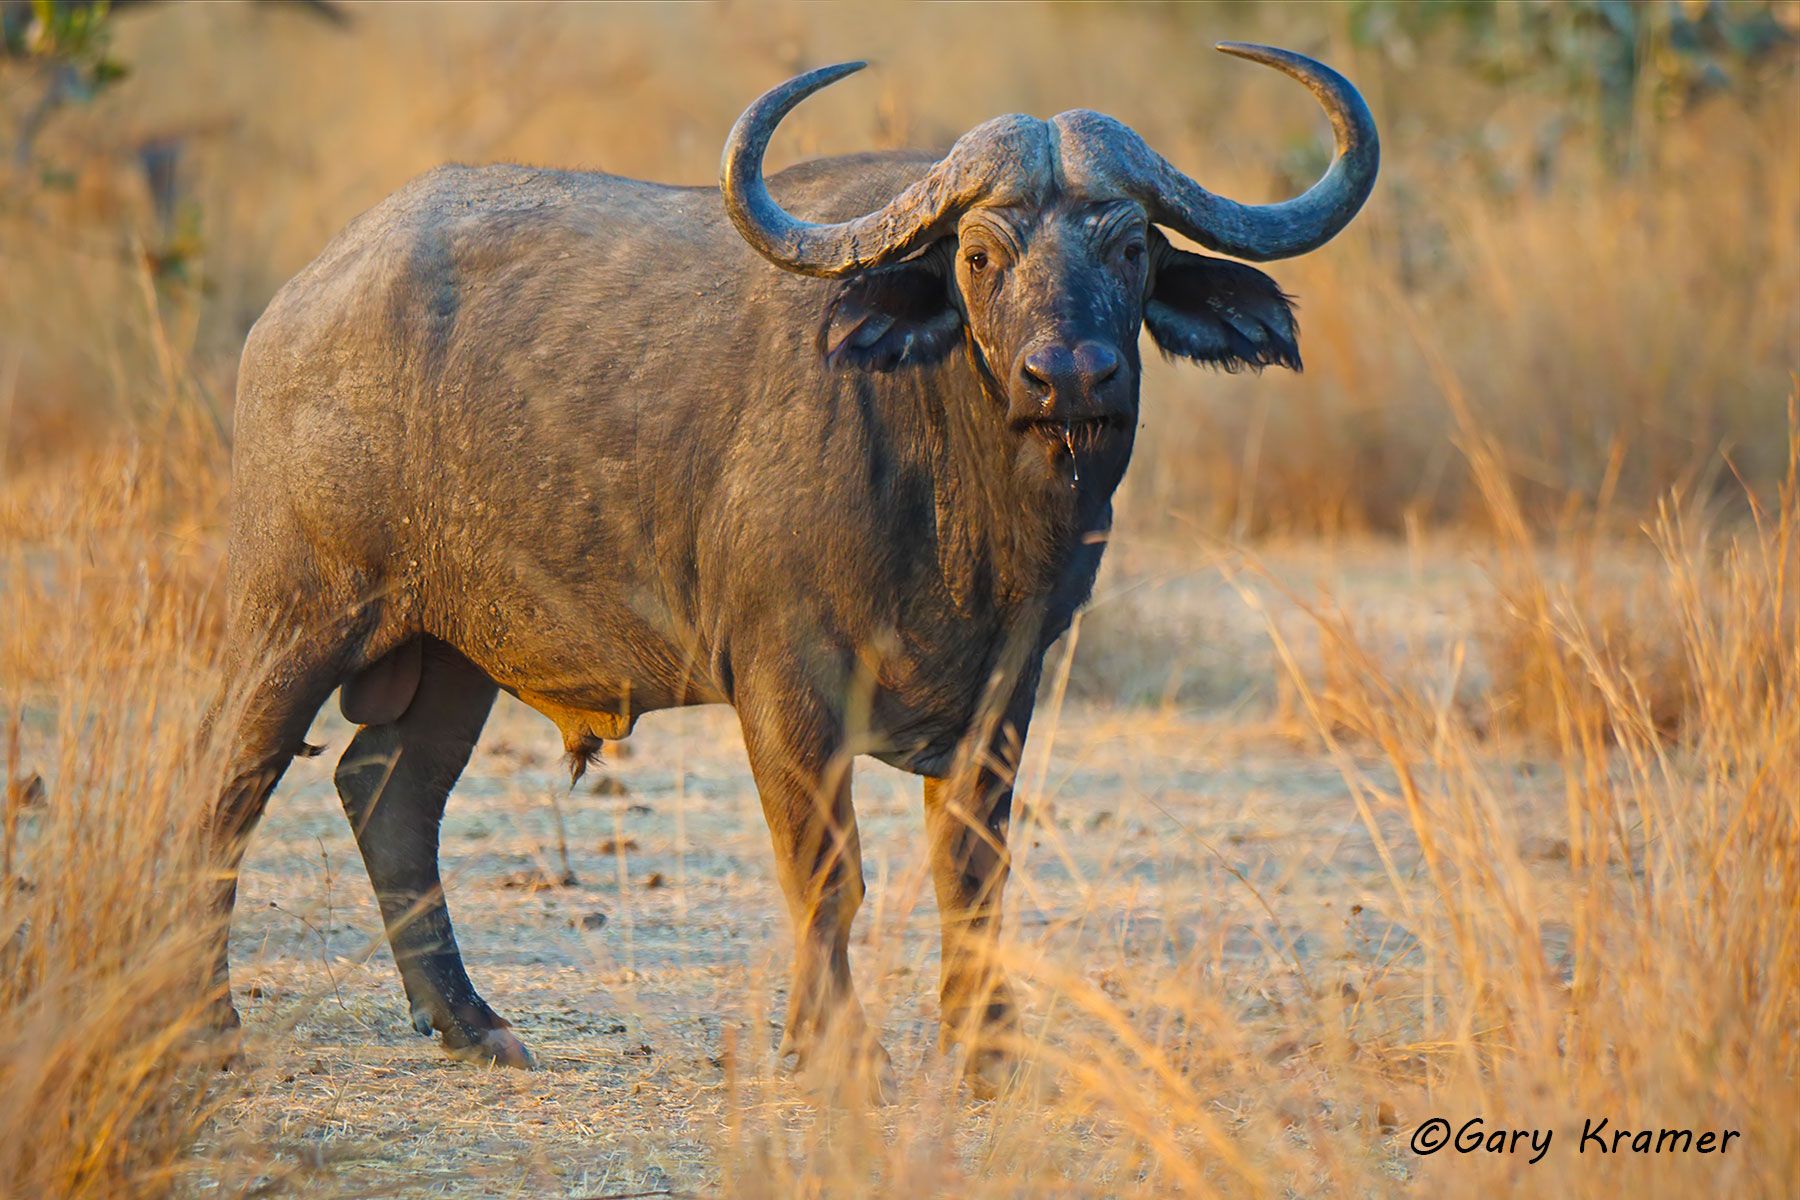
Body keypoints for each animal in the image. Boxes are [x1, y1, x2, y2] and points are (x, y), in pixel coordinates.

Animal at [206, 42, 1377, 1098]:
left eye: (1131, 247)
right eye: (980, 256)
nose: (1070, 375)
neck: (965, 505)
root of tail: (296, 309)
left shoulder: (1009, 688)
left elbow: (971, 874)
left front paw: (987, 1052)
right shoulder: (784, 686)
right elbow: (828, 875)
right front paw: (834, 1052)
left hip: (454, 652)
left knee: (387, 789)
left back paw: (473, 1025)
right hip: (296, 614)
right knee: (229, 780)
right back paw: (212, 1024)